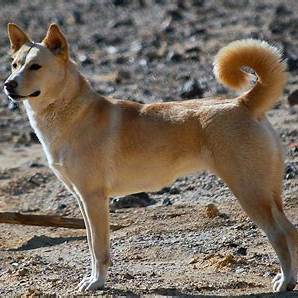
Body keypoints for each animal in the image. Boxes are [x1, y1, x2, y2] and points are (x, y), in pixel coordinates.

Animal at [3, 23, 296, 294]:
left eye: (36, 66)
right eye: (15, 64)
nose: (8, 84)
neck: (70, 112)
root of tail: (243, 102)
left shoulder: (93, 198)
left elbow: (98, 248)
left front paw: (97, 282)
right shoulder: (82, 199)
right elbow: (91, 244)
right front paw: (93, 279)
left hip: (250, 192)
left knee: (280, 234)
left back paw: (284, 282)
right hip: (269, 193)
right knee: (291, 230)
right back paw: (290, 279)